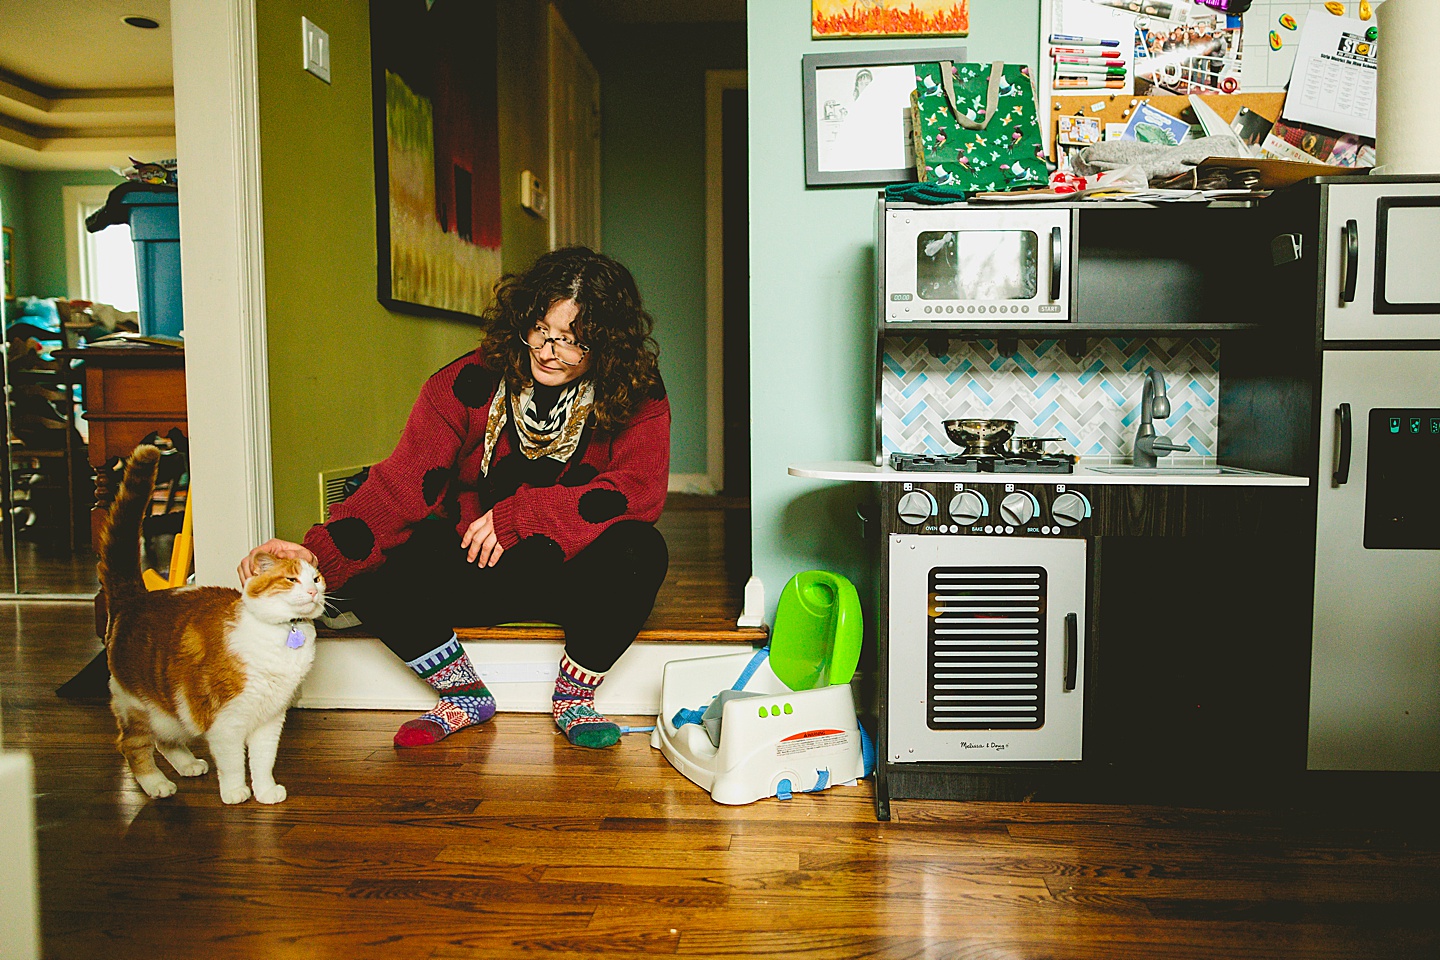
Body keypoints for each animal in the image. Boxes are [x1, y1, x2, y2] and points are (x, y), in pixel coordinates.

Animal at [102, 446, 326, 805]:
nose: (312, 591)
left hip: (173, 710)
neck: (280, 637)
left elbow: (263, 759)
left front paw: (265, 791)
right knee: (132, 745)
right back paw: (156, 784)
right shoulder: (225, 721)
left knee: (165, 740)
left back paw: (188, 764)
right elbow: (233, 761)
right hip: (138, 705)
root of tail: (134, 597)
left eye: (316, 579)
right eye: (291, 579)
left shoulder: (270, 718)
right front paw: (235, 792)